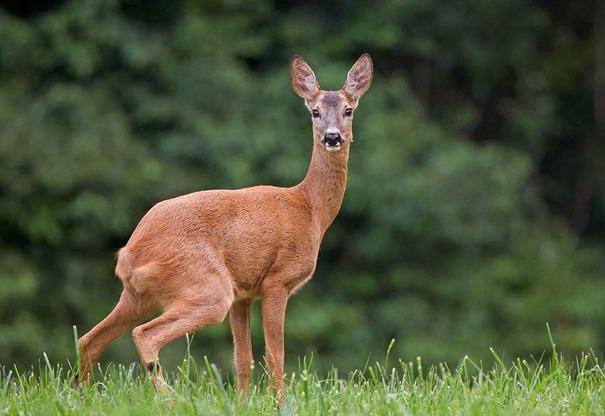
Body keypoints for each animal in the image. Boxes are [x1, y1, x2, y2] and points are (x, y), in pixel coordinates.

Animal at [76, 52, 372, 400]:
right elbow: (276, 354)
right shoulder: (277, 280)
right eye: (314, 111)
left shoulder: (243, 292)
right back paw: (169, 399)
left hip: (141, 295)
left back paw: (80, 395)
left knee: (89, 339)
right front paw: (280, 402)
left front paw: (242, 402)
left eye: (348, 110)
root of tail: (129, 253)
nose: (332, 136)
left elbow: (242, 358)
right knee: (143, 334)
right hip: (207, 285)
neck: (310, 209)